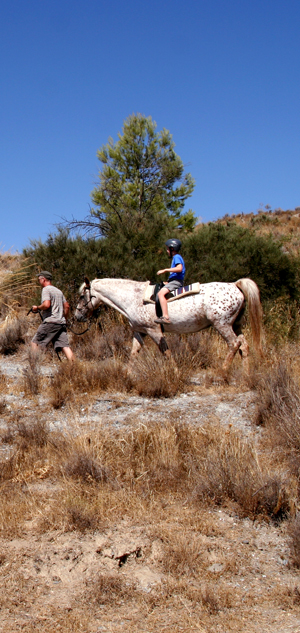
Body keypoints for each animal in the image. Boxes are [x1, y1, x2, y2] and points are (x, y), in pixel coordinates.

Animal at [75, 276, 262, 372]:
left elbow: (166, 352)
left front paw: (175, 372)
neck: (134, 298)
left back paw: (222, 371)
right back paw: (245, 374)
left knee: (234, 344)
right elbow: (134, 353)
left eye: (82, 296)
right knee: (244, 346)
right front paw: (127, 374)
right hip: (236, 325)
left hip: (222, 325)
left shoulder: (154, 331)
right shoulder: (140, 331)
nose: (77, 316)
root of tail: (235, 285)